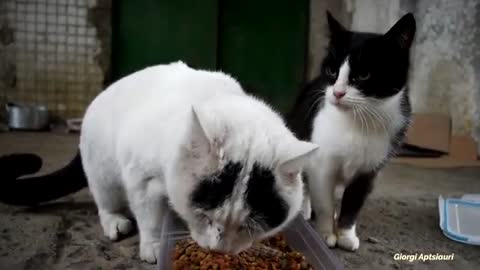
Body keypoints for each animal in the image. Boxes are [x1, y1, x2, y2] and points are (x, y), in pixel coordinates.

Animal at [0, 61, 318, 264]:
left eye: (248, 227)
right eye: (204, 216)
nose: (219, 250)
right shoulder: (142, 180)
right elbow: (149, 217)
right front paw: (153, 246)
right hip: (103, 171)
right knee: (105, 200)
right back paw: (115, 221)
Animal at [286, 12, 414, 251]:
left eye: (364, 75)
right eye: (332, 71)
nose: (337, 93)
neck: (357, 120)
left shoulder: (370, 169)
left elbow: (353, 203)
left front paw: (345, 235)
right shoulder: (322, 165)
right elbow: (324, 200)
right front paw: (326, 234)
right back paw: (304, 209)